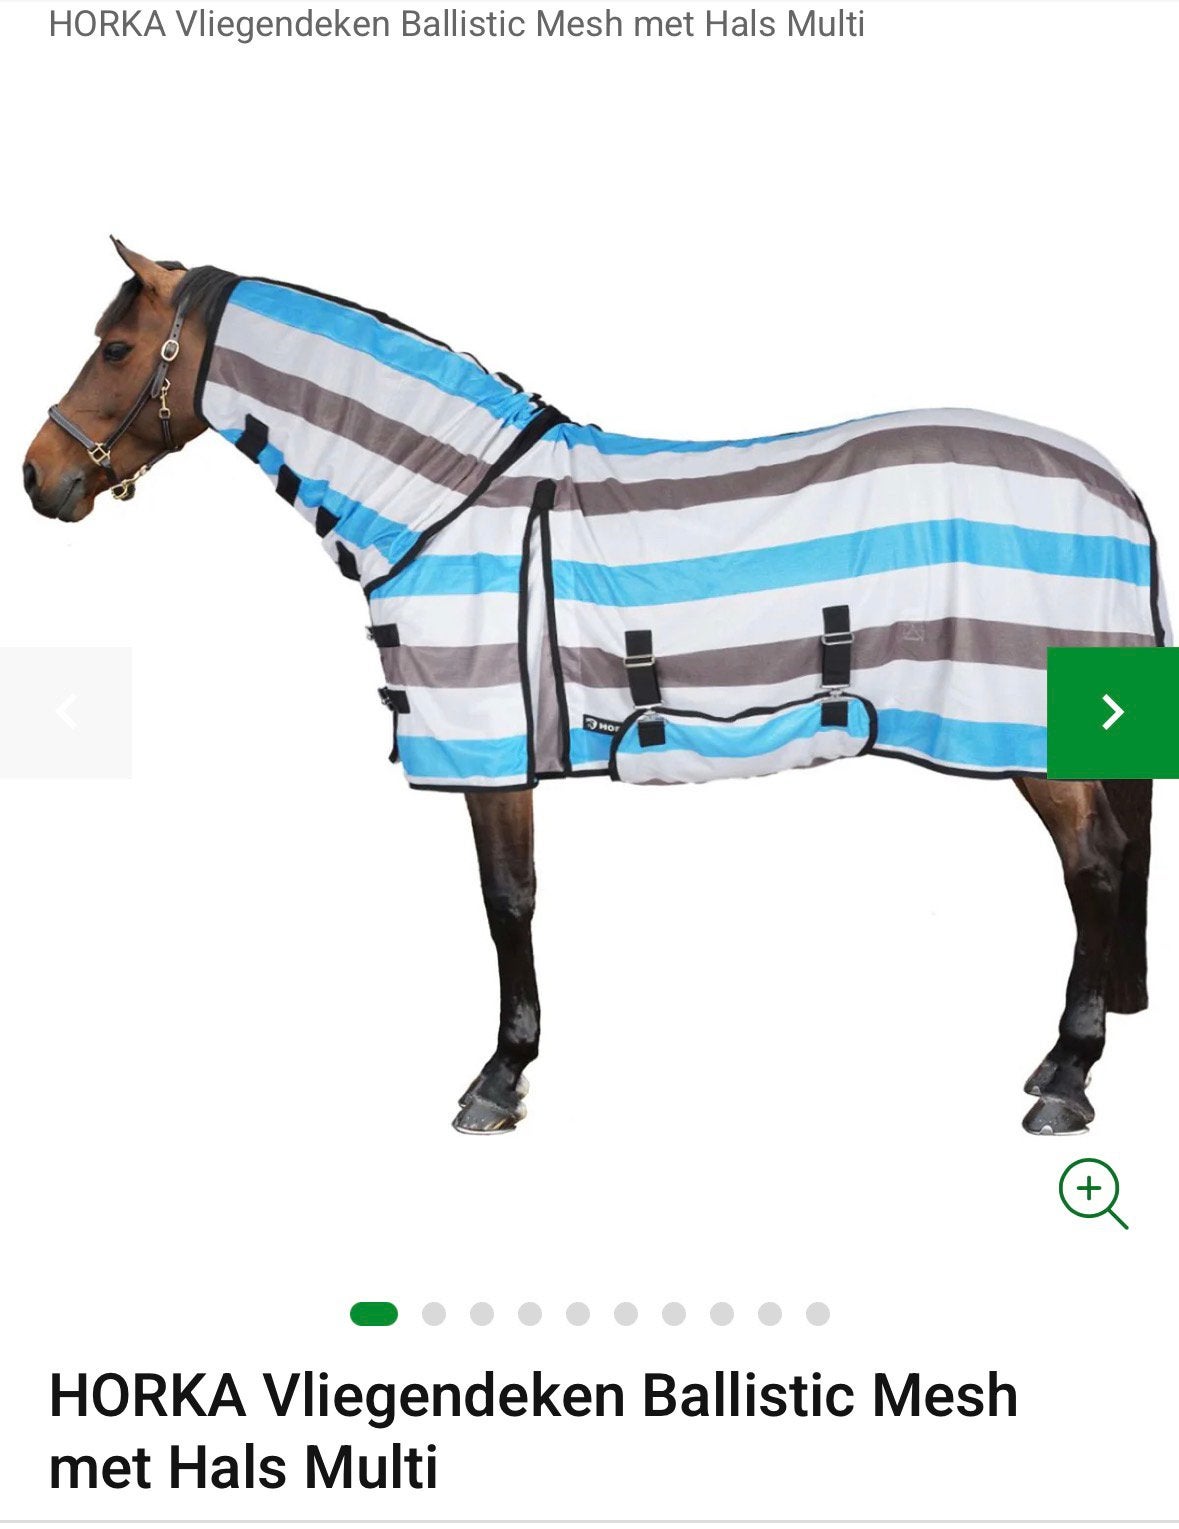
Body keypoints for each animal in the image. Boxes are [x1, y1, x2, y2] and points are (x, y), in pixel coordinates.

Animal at [22, 241, 1166, 1136]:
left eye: (117, 349)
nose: (38, 477)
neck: (445, 496)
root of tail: (1114, 484)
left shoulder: (486, 744)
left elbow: (507, 900)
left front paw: (499, 1076)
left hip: (1022, 729)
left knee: (1094, 865)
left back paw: (1066, 1078)